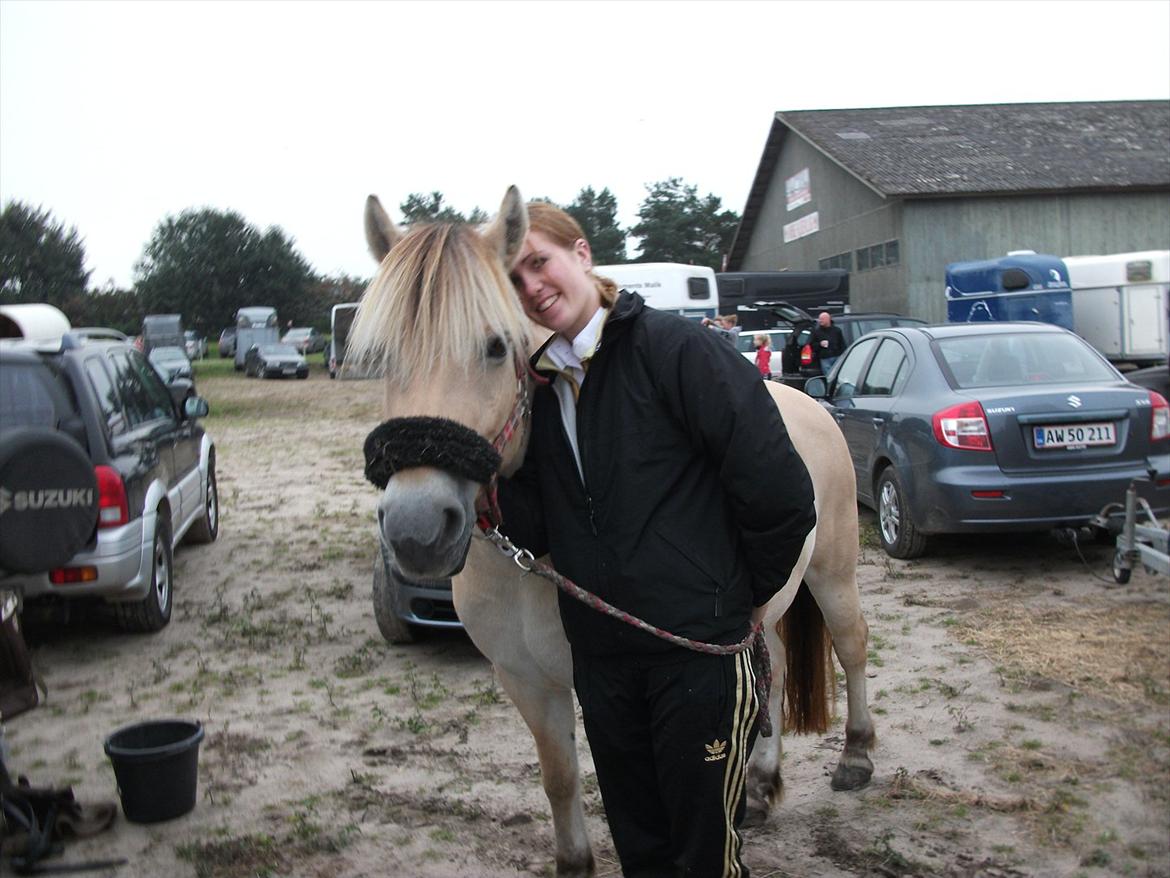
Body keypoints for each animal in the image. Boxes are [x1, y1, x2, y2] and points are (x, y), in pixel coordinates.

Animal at [347, 187, 875, 877]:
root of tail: (807, 400)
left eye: (496, 346)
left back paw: (856, 757)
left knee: (852, 645)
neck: (529, 566)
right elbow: (561, 778)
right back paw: (760, 789)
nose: (416, 528)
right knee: (777, 672)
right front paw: (574, 861)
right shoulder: (529, 681)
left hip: (832, 574)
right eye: (381, 358)